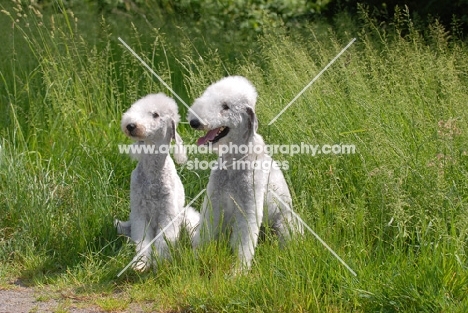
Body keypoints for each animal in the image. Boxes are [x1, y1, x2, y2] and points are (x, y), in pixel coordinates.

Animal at [116, 92, 199, 270]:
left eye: (155, 114)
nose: (130, 125)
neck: (152, 173)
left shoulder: (167, 214)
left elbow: (163, 242)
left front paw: (160, 263)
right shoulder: (140, 214)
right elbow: (142, 241)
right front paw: (140, 263)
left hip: (186, 217)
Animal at [186, 76, 304, 270]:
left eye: (226, 106)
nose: (194, 122)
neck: (234, 162)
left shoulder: (248, 208)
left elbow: (244, 242)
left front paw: (238, 271)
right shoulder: (214, 203)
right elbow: (205, 233)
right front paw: (194, 261)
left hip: (285, 223)